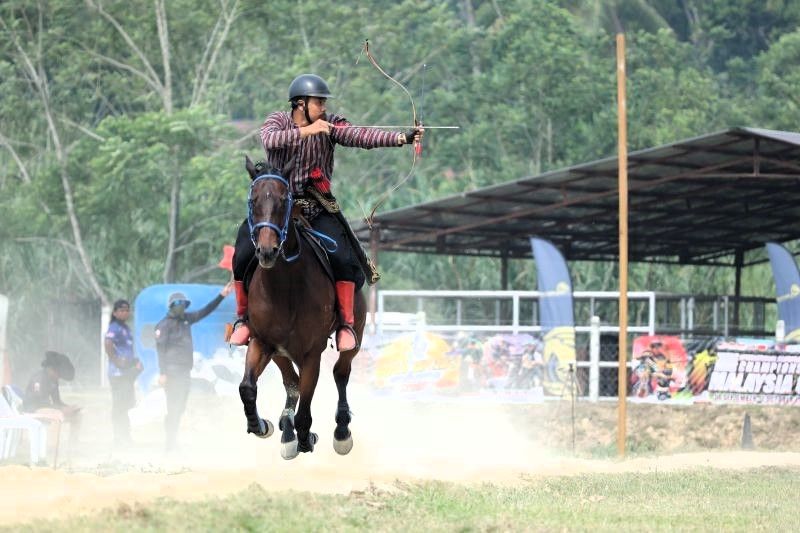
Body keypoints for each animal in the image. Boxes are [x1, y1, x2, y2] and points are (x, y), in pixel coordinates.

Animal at [234, 154, 366, 458]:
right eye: (252, 201)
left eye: (285, 200)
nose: (267, 251)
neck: (285, 287)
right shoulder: (262, 342)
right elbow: (247, 387)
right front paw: (261, 425)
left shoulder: (312, 352)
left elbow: (306, 407)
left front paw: (306, 436)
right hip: (280, 352)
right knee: (291, 382)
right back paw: (286, 429)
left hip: (357, 332)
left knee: (341, 372)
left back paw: (340, 431)